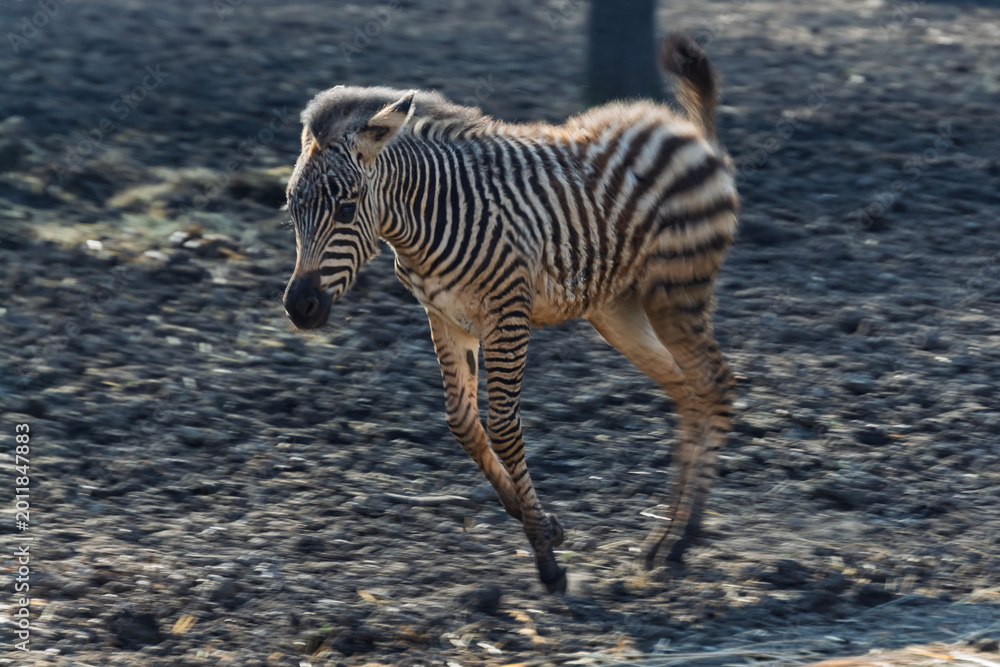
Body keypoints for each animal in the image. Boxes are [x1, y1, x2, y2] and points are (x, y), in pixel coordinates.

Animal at [282, 33, 738, 594]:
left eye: (346, 210)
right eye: (290, 209)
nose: (299, 307)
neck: (429, 217)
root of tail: (691, 131)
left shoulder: (507, 315)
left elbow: (501, 426)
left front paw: (545, 555)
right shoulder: (444, 317)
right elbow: (462, 421)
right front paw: (540, 521)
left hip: (675, 293)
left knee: (714, 384)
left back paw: (682, 539)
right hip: (618, 310)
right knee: (685, 388)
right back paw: (663, 540)